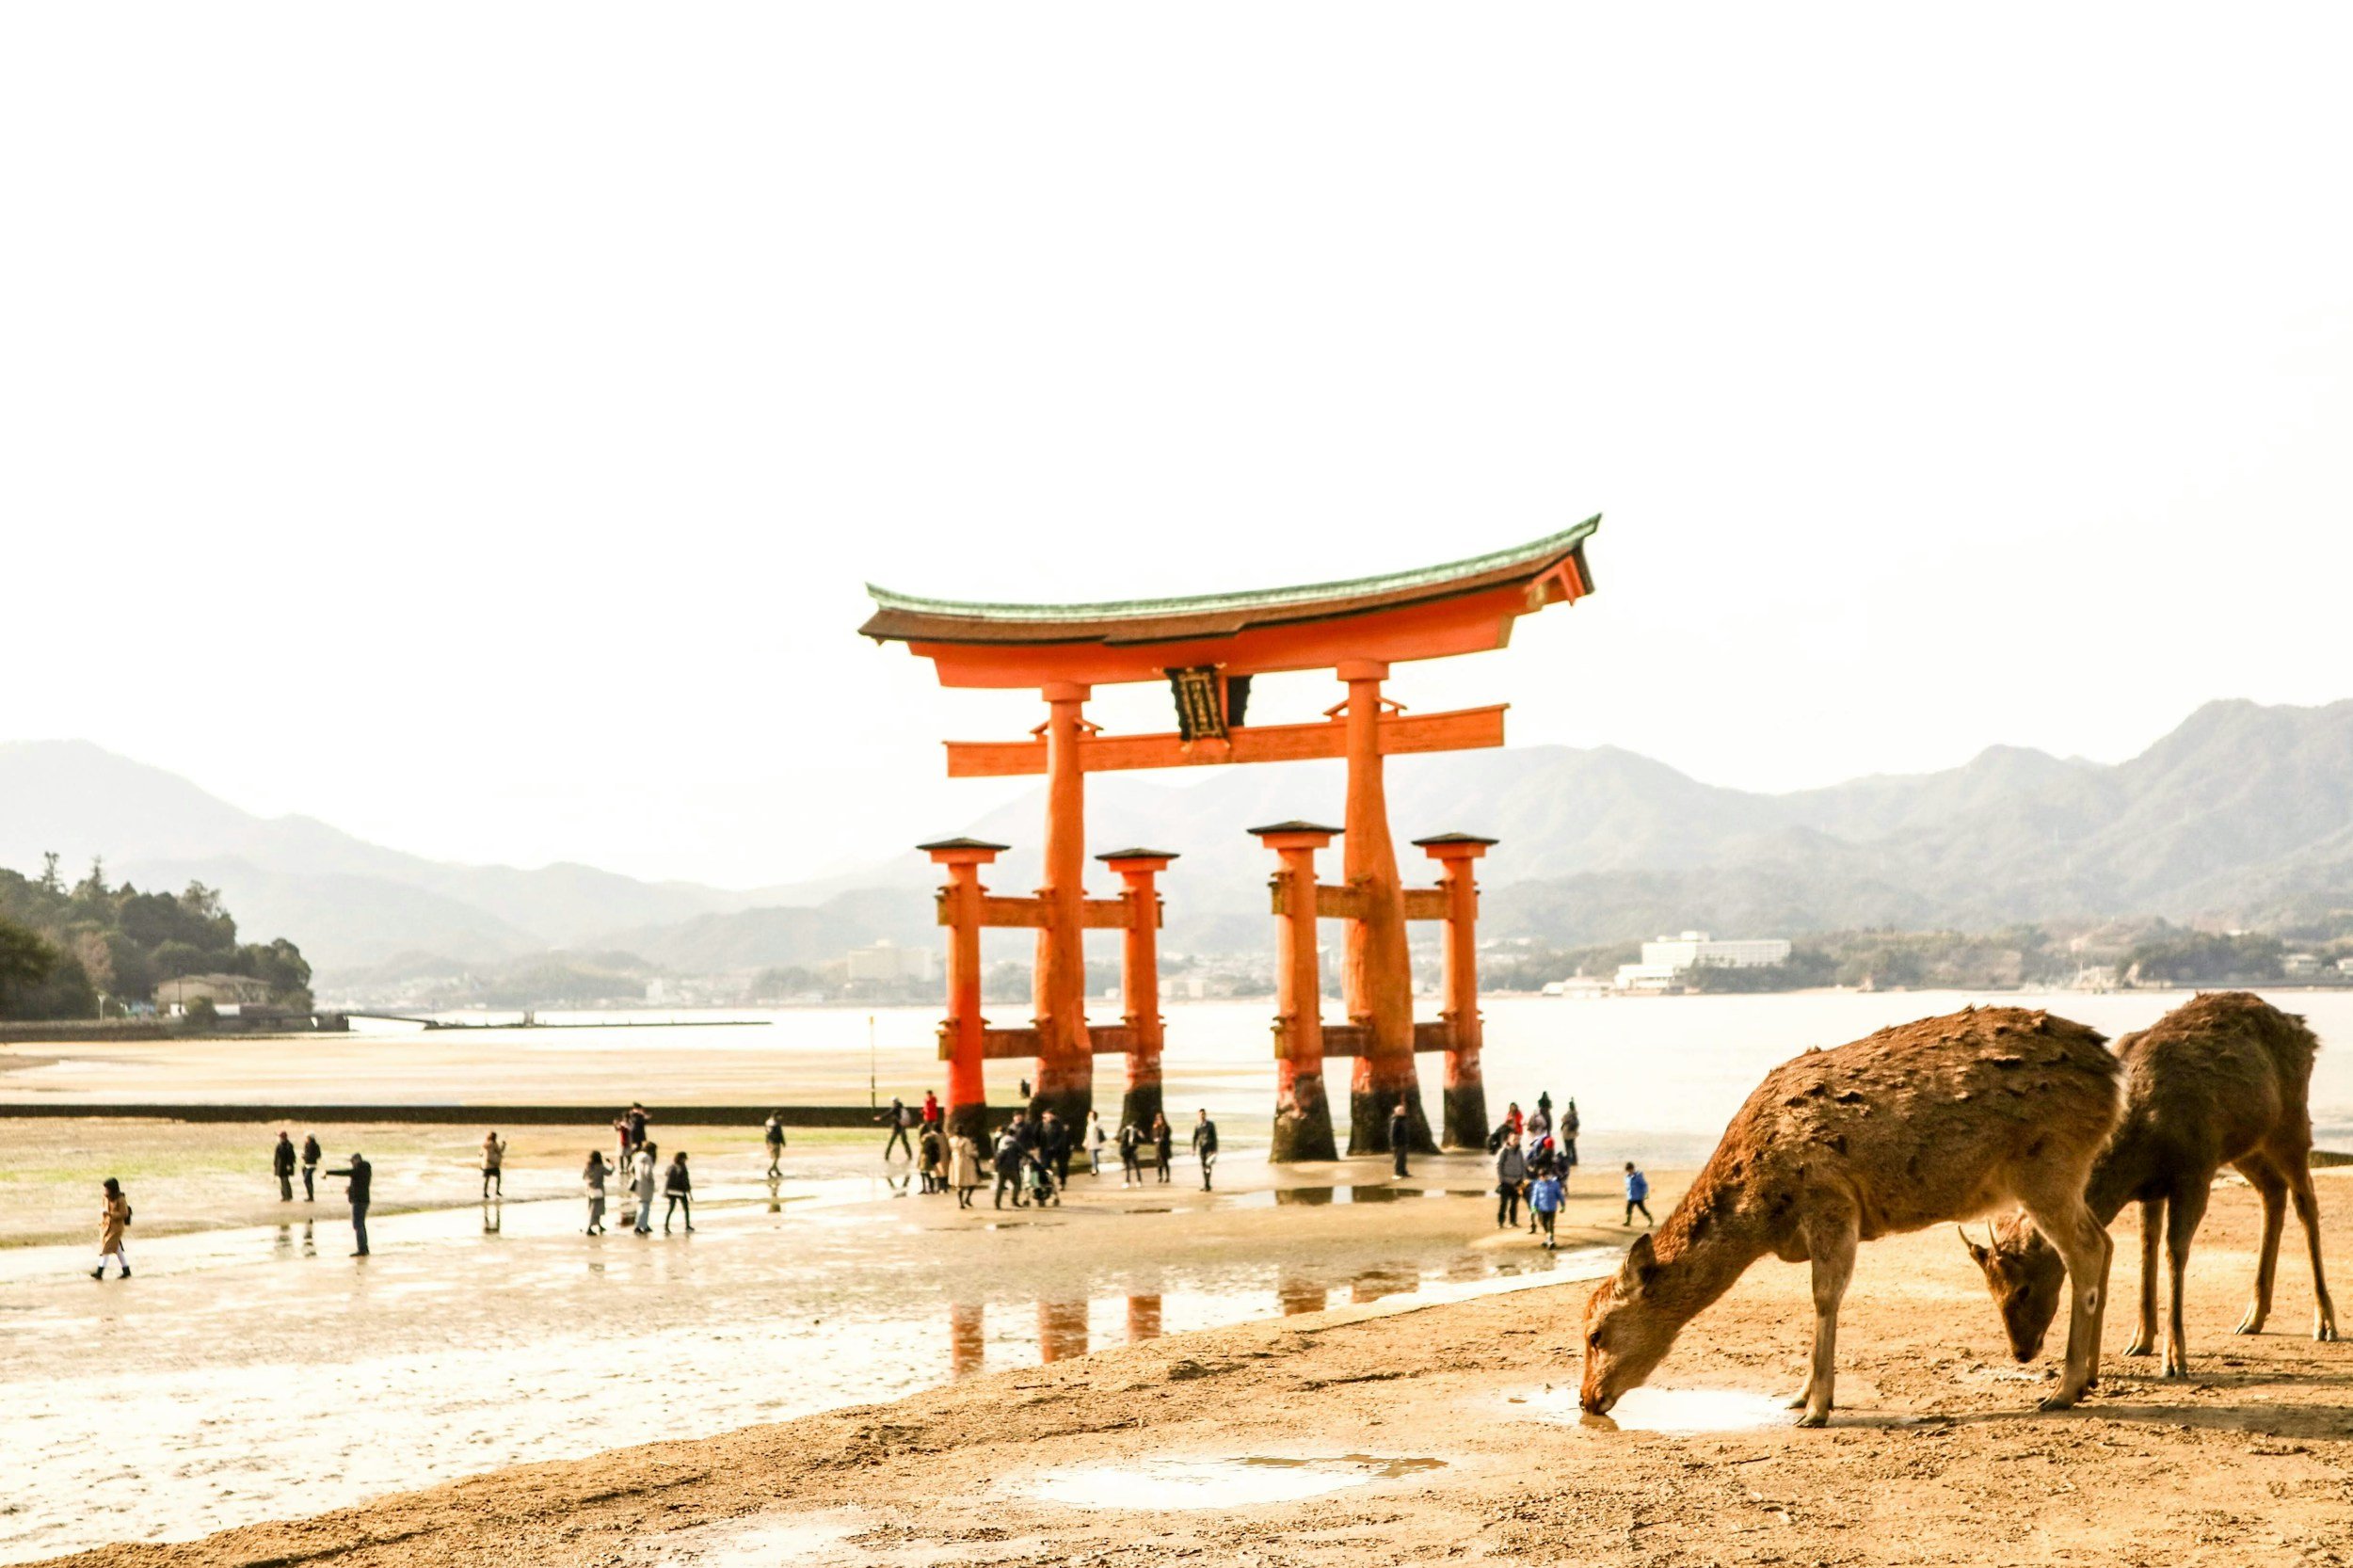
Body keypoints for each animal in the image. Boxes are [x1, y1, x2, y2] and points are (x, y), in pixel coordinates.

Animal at [1581, 1006, 2122, 1427]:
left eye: (1595, 1334)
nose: (1587, 1399)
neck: (1762, 1213)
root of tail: (2114, 1075)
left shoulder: (1830, 1201)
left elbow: (1825, 1296)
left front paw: (1816, 1408)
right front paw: (1801, 1395)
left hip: (2048, 1164)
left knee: (2086, 1249)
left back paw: (2063, 1390)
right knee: (2105, 1239)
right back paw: (2088, 1378)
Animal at [1964, 991, 2336, 1379]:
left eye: (2022, 1289)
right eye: (1990, 1289)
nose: (2021, 1352)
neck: (2139, 1148)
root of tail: (2305, 1031)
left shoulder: (2194, 1170)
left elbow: (2175, 1250)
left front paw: (2174, 1358)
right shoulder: (2151, 1188)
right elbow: (2147, 1246)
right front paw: (2139, 1339)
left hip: (2292, 1122)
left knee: (2306, 1201)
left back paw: (2325, 1322)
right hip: (2245, 1145)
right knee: (2272, 1191)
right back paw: (2253, 1317)